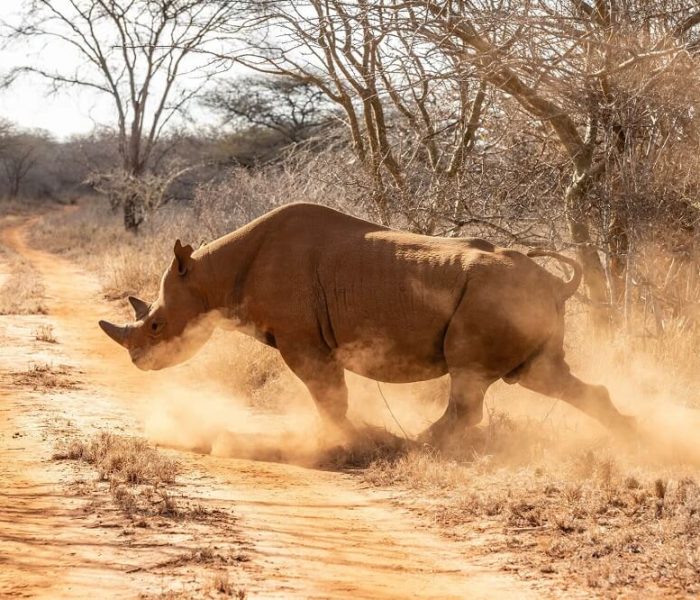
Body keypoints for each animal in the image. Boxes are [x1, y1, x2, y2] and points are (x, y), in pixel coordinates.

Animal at [99, 203, 634, 441]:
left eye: (155, 326)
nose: (139, 363)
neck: (213, 274)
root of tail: (557, 284)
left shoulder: (302, 340)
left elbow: (327, 392)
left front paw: (350, 439)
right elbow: (329, 391)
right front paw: (354, 436)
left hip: (494, 299)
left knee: (472, 374)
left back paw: (418, 445)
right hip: (519, 303)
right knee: (540, 376)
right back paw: (634, 438)